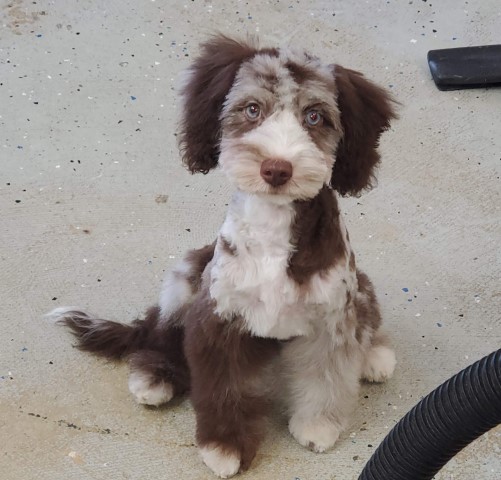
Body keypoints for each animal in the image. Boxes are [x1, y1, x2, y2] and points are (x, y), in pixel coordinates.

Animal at [47, 35, 398, 478]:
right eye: (252, 109)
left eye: (315, 116)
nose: (276, 168)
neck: (272, 228)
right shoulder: (218, 319)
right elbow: (223, 388)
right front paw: (224, 446)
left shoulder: (331, 319)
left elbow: (325, 377)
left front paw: (317, 424)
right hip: (185, 276)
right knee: (155, 330)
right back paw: (155, 376)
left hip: (361, 286)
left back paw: (373, 355)